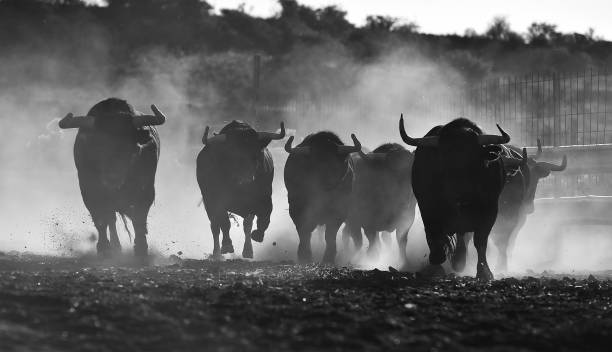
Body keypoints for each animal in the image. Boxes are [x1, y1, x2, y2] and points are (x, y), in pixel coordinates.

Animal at [57, 97, 166, 258]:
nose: (112, 178)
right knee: (110, 219)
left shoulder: (145, 190)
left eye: (129, 145)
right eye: (97, 145)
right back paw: (115, 246)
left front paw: (141, 247)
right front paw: (104, 247)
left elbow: (139, 217)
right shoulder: (89, 190)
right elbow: (101, 219)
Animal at [197, 121, 286, 258]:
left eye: (256, 154)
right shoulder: (215, 201)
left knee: (246, 226)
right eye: (231, 155)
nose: (246, 181)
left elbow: (264, 218)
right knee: (215, 226)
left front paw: (257, 236)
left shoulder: (265, 198)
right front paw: (227, 245)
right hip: (208, 203)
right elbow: (224, 223)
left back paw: (248, 250)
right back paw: (217, 254)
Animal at [284, 131, 360, 262]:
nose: (327, 183)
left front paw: (329, 257)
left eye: (334, 164)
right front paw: (305, 255)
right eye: (314, 164)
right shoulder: (296, 208)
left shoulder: (339, 211)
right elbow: (304, 231)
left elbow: (330, 235)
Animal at [400, 115, 524, 280]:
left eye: (473, 159)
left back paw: (459, 260)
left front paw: (484, 272)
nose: (458, 193)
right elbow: (434, 234)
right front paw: (436, 261)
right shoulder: (427, 206)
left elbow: (480, 241)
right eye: (443, 159)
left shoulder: (490, 209)